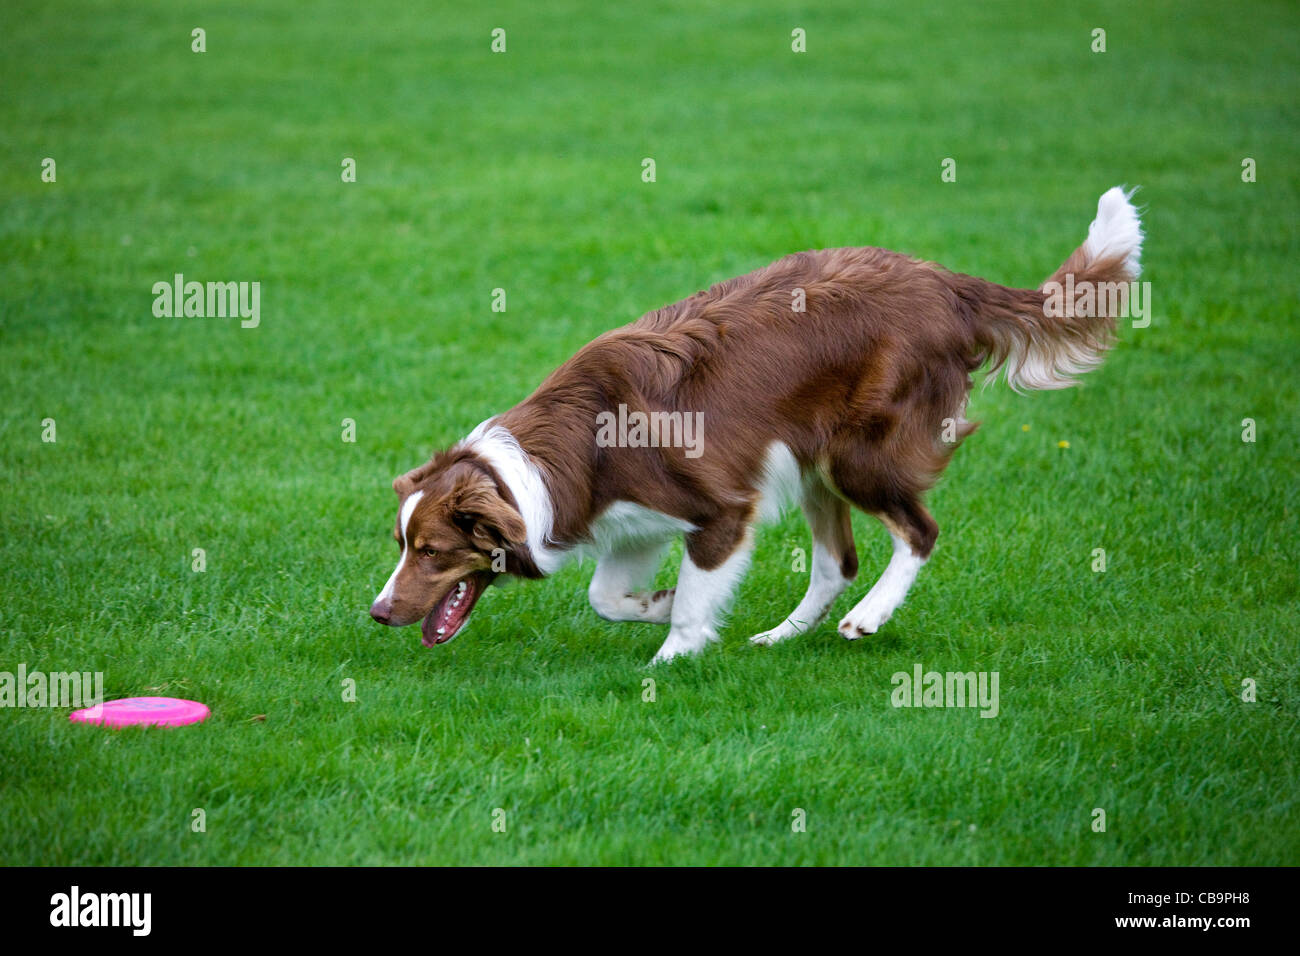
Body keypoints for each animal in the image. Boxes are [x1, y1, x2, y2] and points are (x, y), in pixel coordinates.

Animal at [371, 187, 1144, 665]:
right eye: (402, 545)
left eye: (434, 552)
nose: (377, 613)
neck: (562, 455)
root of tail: (947, 282)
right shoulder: (632, 523)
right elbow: (606, 597)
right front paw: (657, 602)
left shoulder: (720, 508)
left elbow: (686, 600)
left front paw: (673, 652)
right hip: (809, 462)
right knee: (837, 562)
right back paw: (781, 636)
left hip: (855, 454)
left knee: (919, 532)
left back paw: (869, 616)